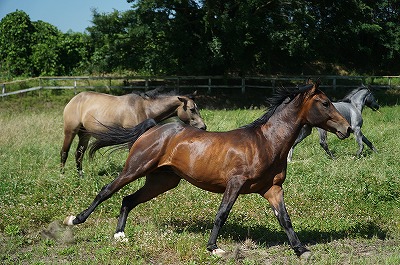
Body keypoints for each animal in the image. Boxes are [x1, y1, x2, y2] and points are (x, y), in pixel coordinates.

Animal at [61, 88, 209, 175]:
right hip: (70, 132)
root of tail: (75, 99)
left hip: (85, 135)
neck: (144, 108)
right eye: (192, 109)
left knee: (78, 154)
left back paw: (80, 175)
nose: (203, 127)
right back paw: (62, 175)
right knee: (64, 152)